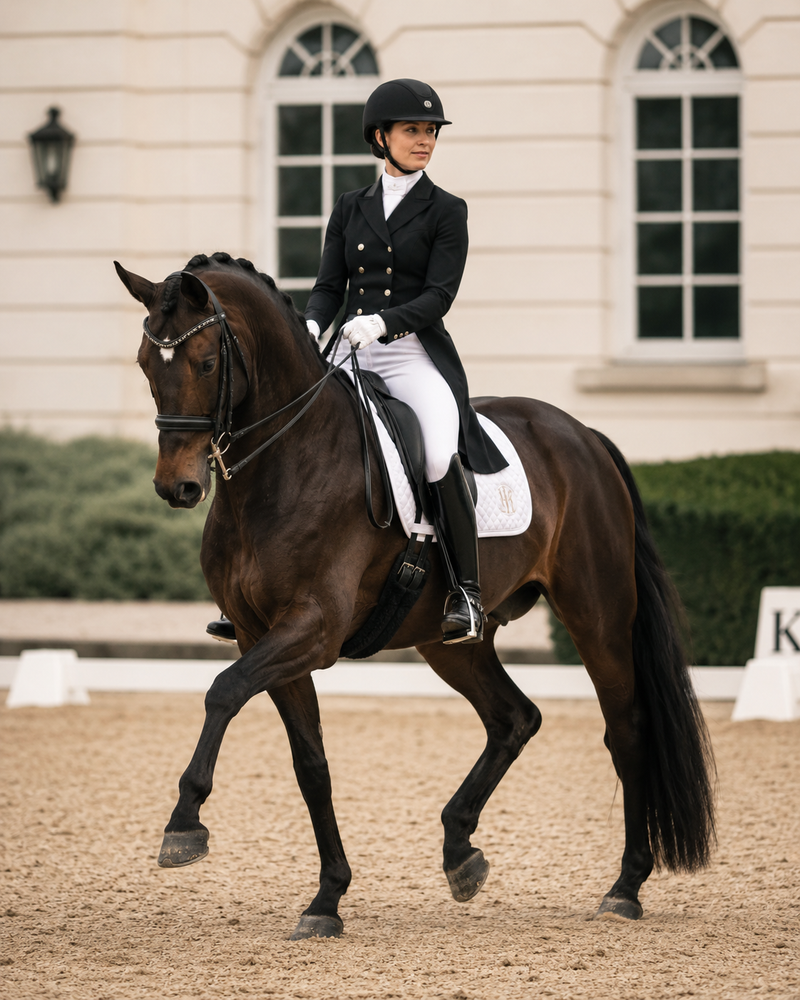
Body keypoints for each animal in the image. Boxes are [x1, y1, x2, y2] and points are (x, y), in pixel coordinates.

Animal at [114, 251, 715, 940]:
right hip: (449, 640)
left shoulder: (313, 630)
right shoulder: (255, 632)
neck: (286, 463)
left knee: (627, 731)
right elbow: (310, 763)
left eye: (207, 363)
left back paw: (625, 887)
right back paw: (461, 852)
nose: (178, 487)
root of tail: (583, 434)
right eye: (144, 362)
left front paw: (184, 823)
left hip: (598, 617)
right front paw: (327, 898)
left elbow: (223, 691)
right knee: (514, 717)